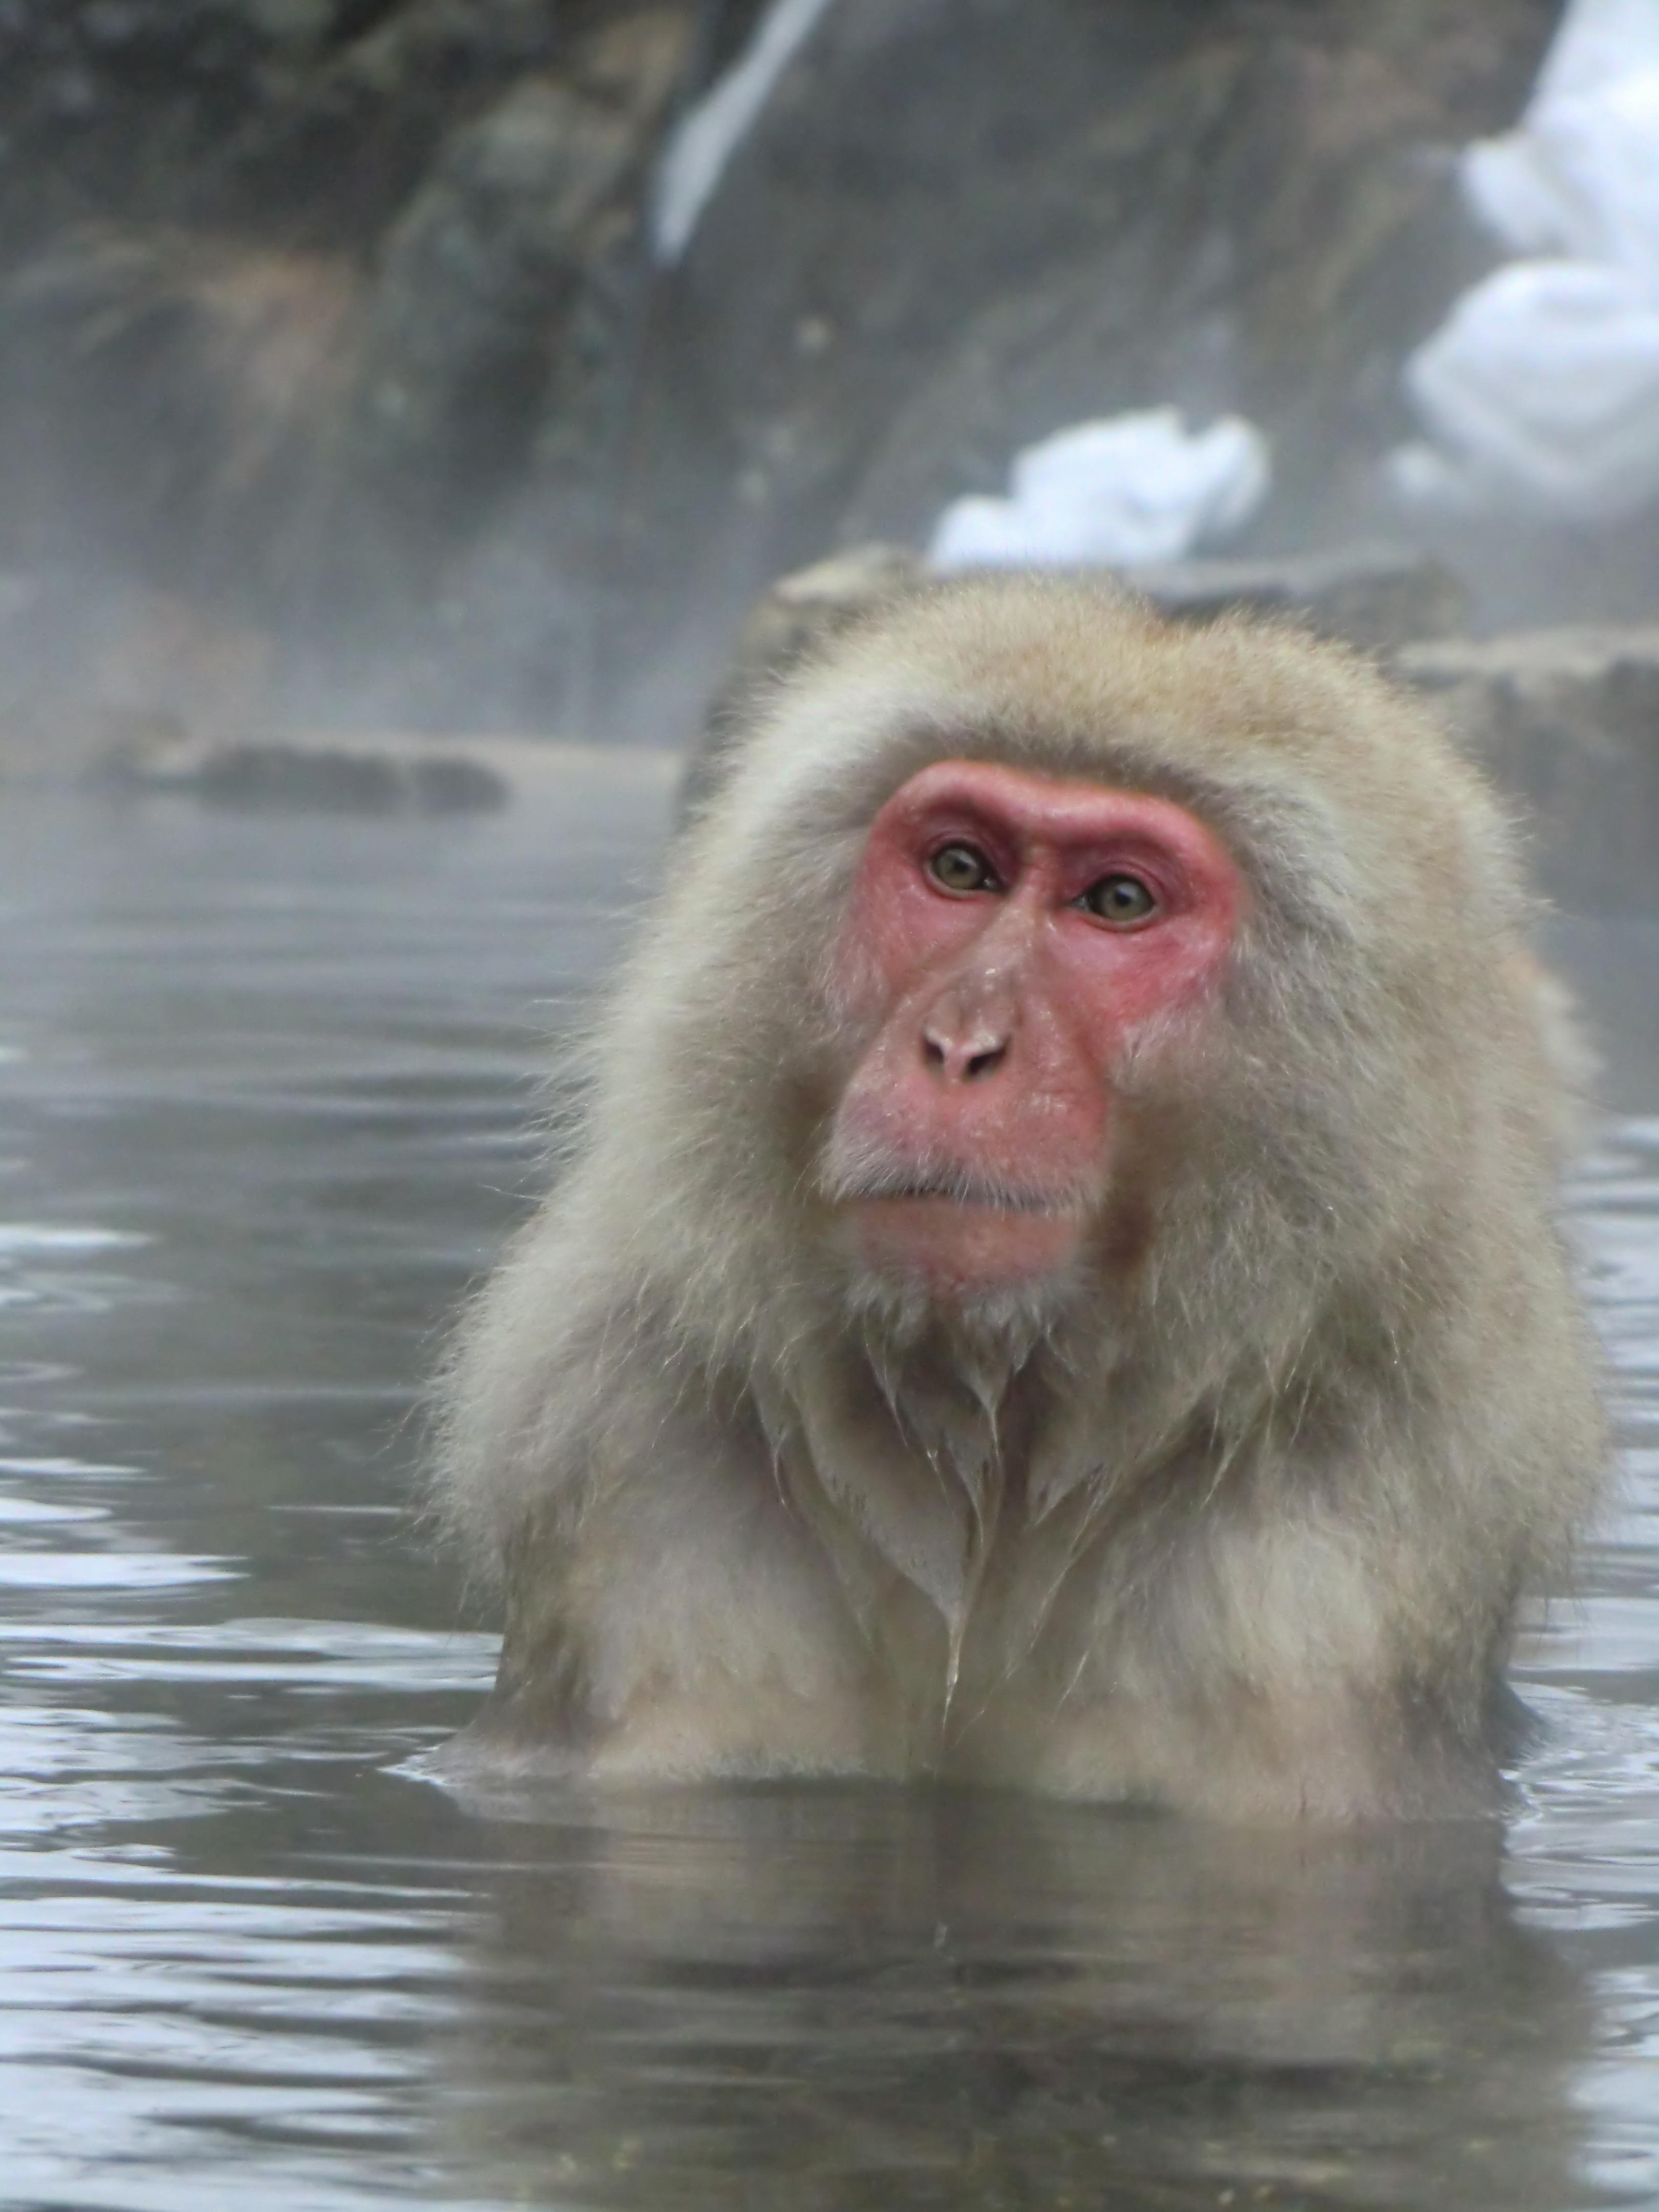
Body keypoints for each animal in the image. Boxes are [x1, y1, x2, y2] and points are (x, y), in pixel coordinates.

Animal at [431, 579, 1610, 1822]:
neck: (997, 1471)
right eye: (962, 869)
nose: (962, 1046)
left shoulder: (1312, 1589)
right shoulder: (632, 1473)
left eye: (1119, 900)